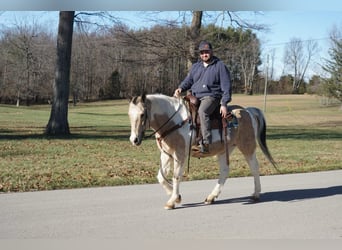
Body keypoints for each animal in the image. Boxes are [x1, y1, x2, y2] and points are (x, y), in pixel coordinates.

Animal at [128, 93, 278, 209]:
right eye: (129, 114)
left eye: (142, 114)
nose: (134, 139)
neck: (174, 121)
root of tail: (248, 111)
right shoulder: (167, 154)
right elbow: (161, 177)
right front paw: (177, 197)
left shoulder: (180, 154)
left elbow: (176, 176)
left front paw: (172, 201)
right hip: (224, 150)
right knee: (225, 171)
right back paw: (211, 197)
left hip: (247, 146)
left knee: (254, 167)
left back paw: (256, 194)